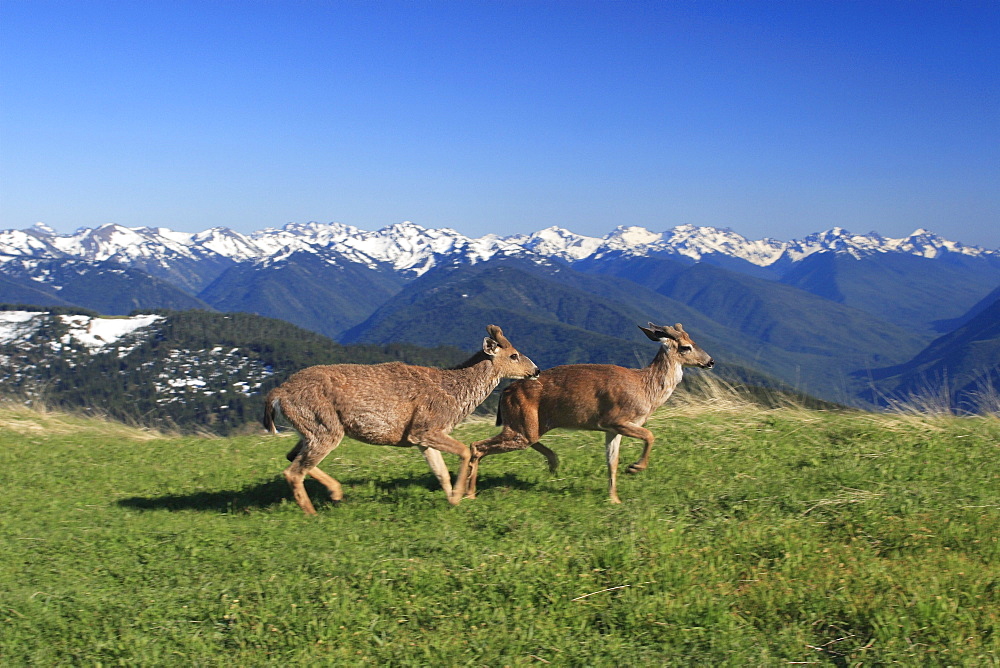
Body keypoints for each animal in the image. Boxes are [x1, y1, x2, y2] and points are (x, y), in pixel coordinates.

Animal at [262, 326, 536, 516]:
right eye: (513, 355)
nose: (535, 370)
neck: (454, 394)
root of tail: (277, 394)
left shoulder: (420, 438)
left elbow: (441, 473)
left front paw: (453, 501)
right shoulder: (426, 426)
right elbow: (464, 452)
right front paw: (460, 495)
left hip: (311, 429)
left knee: (291, 457)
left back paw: (336, 492)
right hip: (324, 427)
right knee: (293, 471)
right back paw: (313, 513)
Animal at [466, 322, 712, 500]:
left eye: (693, 341)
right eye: (686, 346)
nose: (710, 361)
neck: (646, 388)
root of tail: (505, 392)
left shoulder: (612, 430)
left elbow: (612, 462)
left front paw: (614, 499)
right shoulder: (616, 419)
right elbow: (650, 436)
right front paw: (635, 468)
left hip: (530, 424)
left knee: (524, 441)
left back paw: (553, 463)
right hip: (522, 422)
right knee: (477, 445)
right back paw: (469, 493)